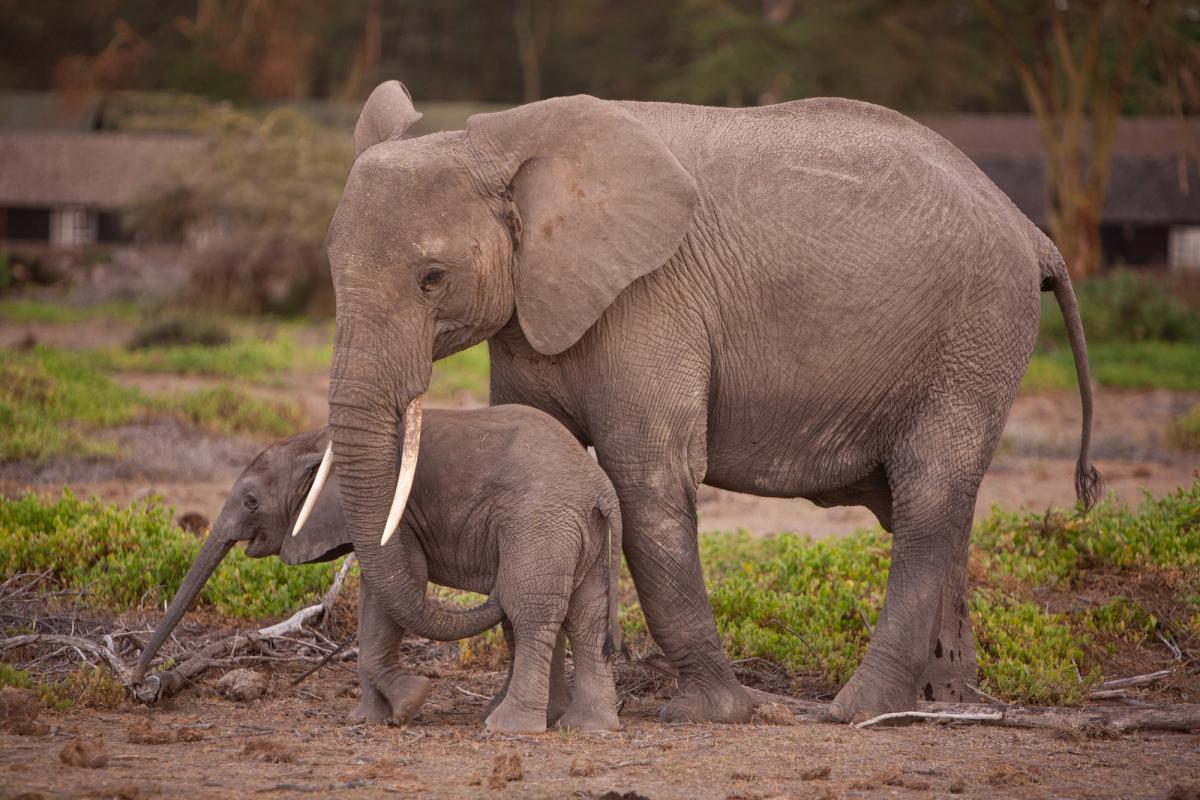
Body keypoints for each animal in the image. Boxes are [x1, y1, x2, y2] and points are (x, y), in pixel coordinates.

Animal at [133, 405, 624, 734]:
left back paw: (507, 727)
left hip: (540, 525)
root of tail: (600, 487)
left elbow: (401, 587)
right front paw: (371, 718)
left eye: (252, 501)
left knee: (530, 613)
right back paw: (588, 727)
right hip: (580, 531)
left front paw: (409, 704)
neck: (317, 442)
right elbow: (374, 600)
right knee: (584, 616)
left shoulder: (395, 517)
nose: (140, 685)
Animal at [313, 80, 1099, 724]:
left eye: (432, 278)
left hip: (976, 335)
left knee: (928, 500)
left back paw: (859, 710)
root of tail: (1031, 233)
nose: (416, 694)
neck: (503, 145)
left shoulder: (650, 300)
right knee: (937, 510)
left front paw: (711, 714)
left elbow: (648, 479)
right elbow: (542, 452)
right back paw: (946, 699)